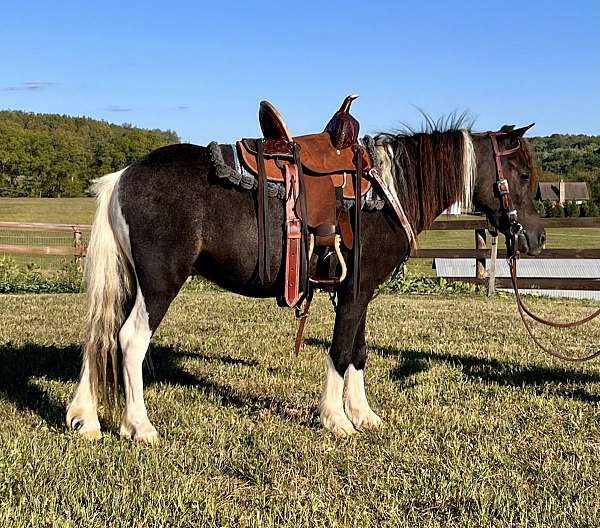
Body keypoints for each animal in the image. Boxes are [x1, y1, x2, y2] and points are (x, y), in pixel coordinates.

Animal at [65, 118, 544, 442]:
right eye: (522, 175)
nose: (537, 237)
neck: (385, 194)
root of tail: (123, 177)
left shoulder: (357, 293)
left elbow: (359, 352)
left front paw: (363, 414)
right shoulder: (354, 292)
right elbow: (340, 352)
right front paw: (337, 419)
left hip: (131, 281)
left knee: (99, 334)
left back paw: (86, 419)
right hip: (161, 282)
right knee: (129, 340)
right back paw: (138, 426)